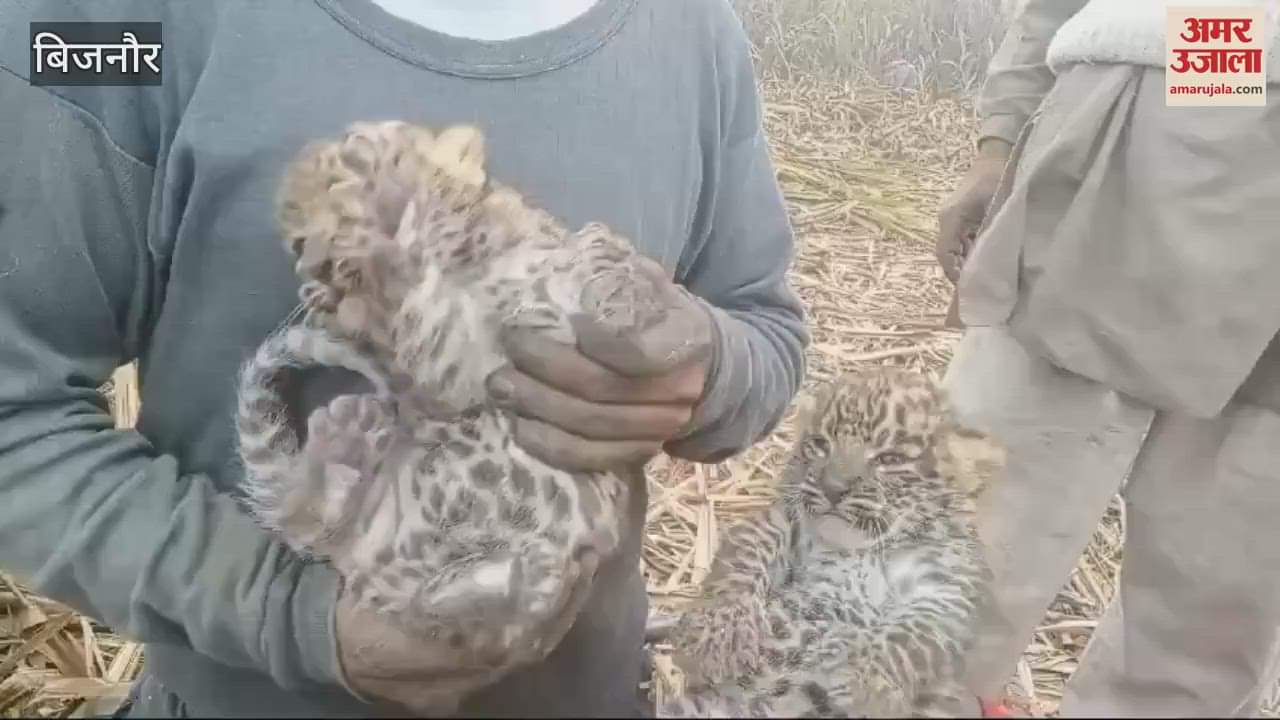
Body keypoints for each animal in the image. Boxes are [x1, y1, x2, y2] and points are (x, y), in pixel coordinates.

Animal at [234, 120, 668, 659]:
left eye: (343, 178)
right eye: (296, 243)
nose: (314, 267)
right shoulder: (462, 359)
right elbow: (416, 315)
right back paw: (343, 447)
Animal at [653, 367, 1005, 718]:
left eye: (890, 459)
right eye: (820, 444)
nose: (833, 488)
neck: (862, 552)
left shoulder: (946, 589)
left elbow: (912, 637)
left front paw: (863, 685)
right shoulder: (784, 522)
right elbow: (745, 557)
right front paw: (720, 638)